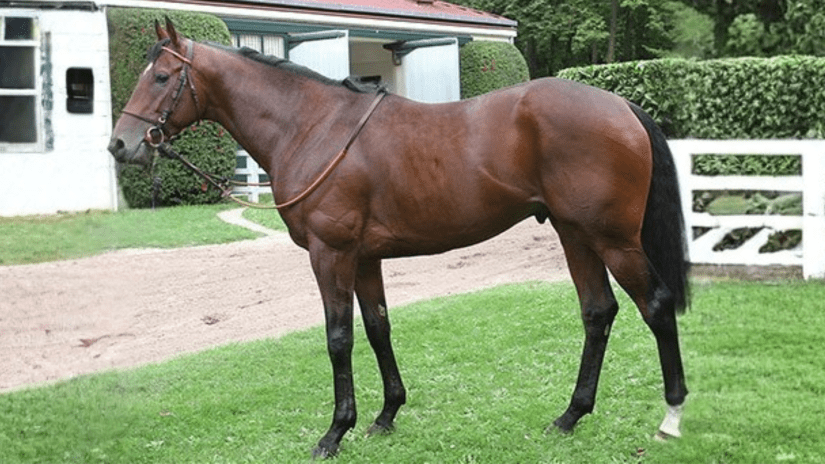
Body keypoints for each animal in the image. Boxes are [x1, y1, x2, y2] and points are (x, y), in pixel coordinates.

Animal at [109, 19, 690, 459]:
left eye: (162, 77)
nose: (121, 145)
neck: (311, 126)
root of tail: (621, 106)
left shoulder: (331, 255)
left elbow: (338, 337)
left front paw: (334, 431)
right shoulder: (365, 259)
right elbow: (378, 328)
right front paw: (386, 414)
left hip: (612, 239)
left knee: (656, 306)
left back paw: (672, 414)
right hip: (576, 236)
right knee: (597, 312)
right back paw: (570, 416)